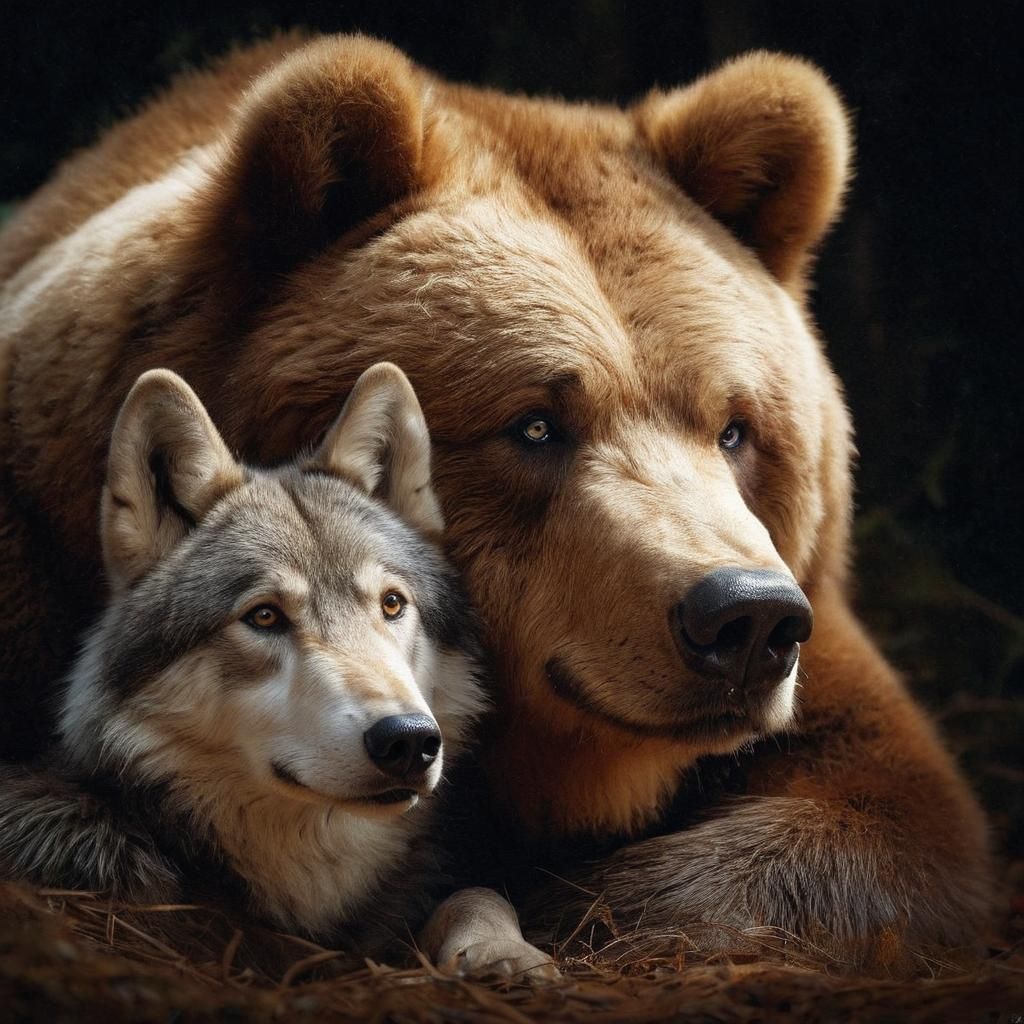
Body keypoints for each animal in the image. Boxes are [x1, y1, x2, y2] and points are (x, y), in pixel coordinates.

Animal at [0, 34, 991, 970]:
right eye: (536, 423)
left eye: (735, 428)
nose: (745, 618)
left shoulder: (817, 634)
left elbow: (890, 823)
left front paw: (584, 905)